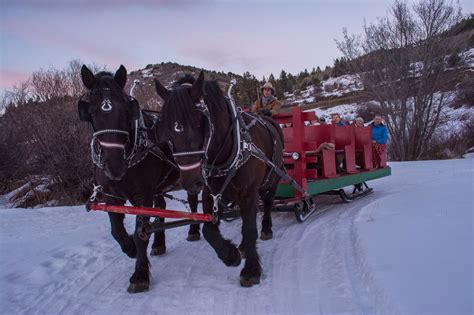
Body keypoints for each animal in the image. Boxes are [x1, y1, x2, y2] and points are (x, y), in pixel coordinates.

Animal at [78, 65, 200, 294]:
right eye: (91, 113)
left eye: (126, 111)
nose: (115, 167)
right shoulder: (112, 195)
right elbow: (117, 230)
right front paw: (130, 248)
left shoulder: (143, 194)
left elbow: (140, 231)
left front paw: (140, 274)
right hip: (159, 186)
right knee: (161, 208)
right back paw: (159, 243)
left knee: (194, 202)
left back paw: (194, 230)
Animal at [154, 72, 284, 288]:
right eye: (168, 130)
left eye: (199, 123)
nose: (190, 182)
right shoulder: (211, 193)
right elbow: (209, 229)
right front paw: (230, 255)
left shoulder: (249, 192)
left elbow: (250, 228)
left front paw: (251, 270)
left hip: (273, 176)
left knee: (267, 202)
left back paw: (266, 228)